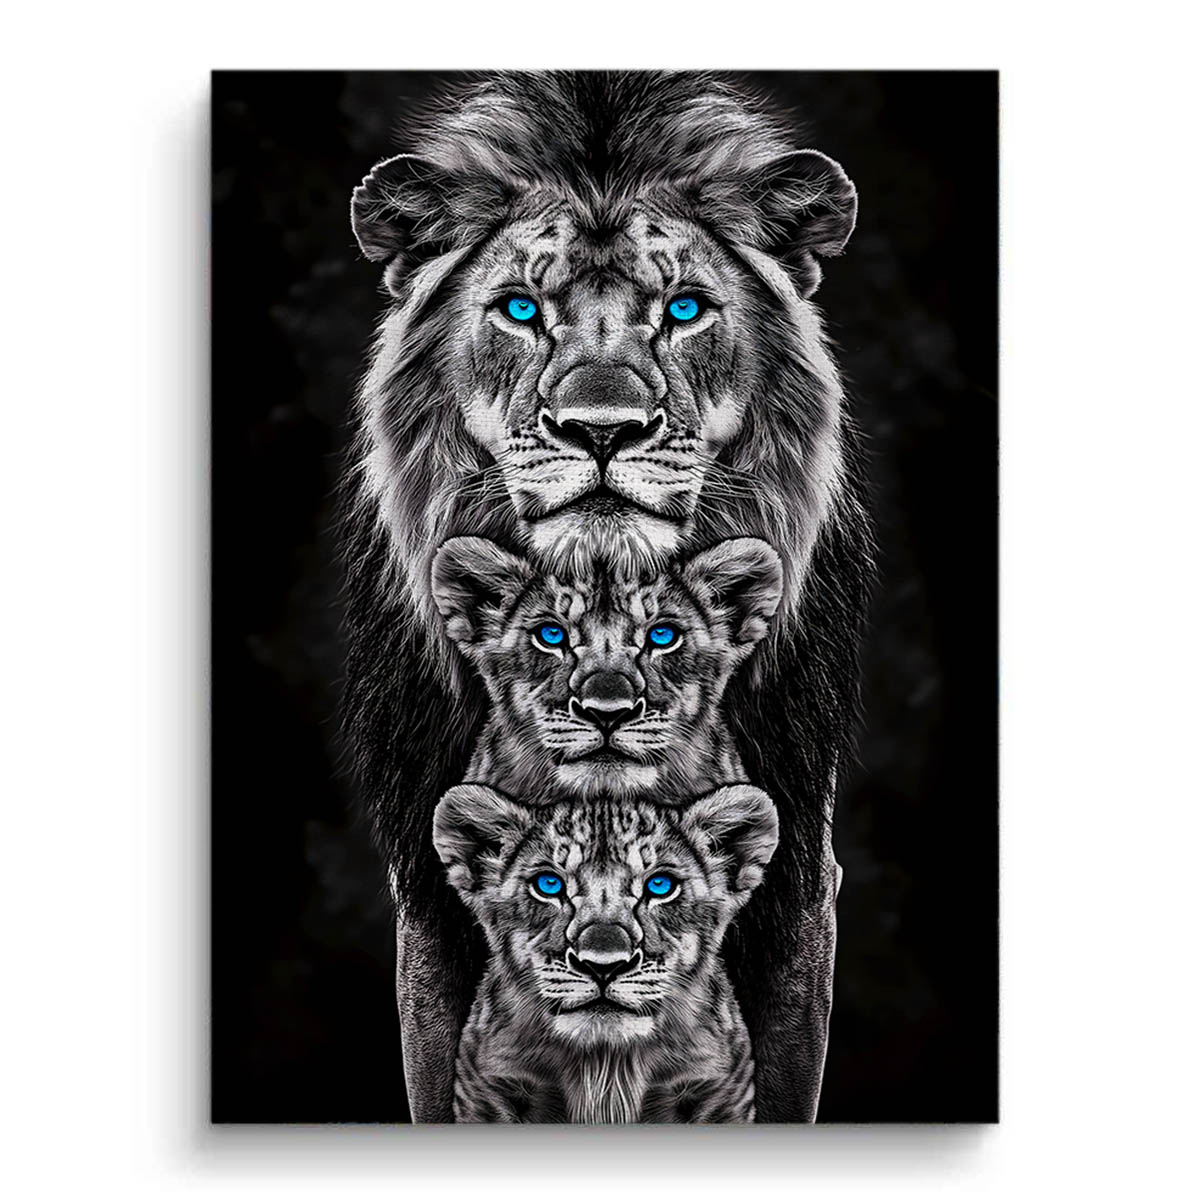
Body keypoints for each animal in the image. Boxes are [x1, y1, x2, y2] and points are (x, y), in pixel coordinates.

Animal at [433, 783, 779, 1123]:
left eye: (661, 885)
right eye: (548, 884)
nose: (603, 966)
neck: (605, 1067)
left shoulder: (717, 1088)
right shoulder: (491, 1086)